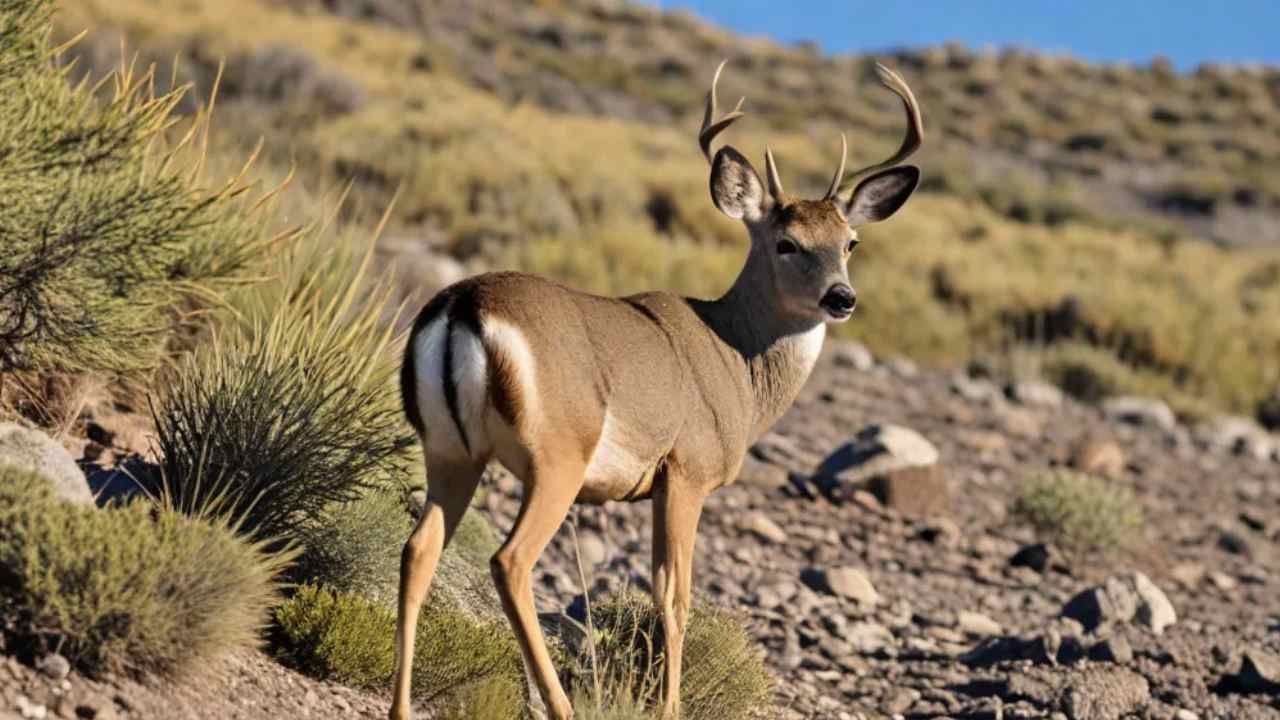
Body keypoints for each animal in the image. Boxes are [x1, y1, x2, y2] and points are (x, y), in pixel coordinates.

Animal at [389, 60, 923, 720]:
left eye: (850, 242)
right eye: (786, 242)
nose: (842, 298)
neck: (738, 360)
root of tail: (462, 305)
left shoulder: (655, 486)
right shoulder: (687, 472)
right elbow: (674, 598)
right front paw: (668, 706)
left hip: (449, 450)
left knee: (418, 550)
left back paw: (401, 707)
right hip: (558, 455)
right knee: (509, 560)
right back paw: (561, 704)